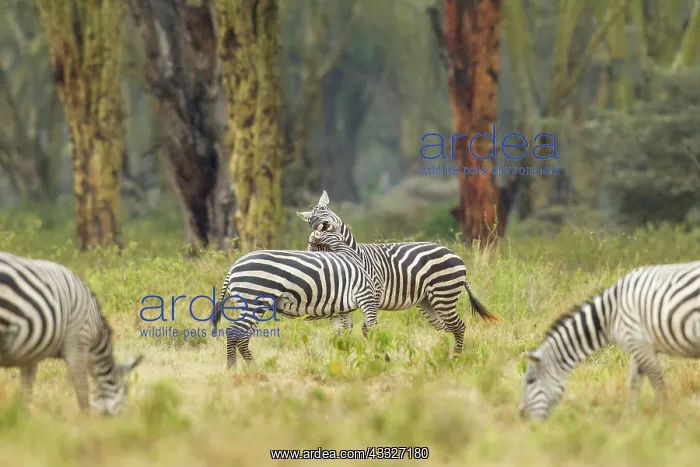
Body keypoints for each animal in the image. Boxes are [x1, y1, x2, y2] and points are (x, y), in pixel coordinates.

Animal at [0, 252, 144, 415]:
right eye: (126, 391)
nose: (122, 418)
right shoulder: (79, 342)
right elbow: (82, 389)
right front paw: (84, 418)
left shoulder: (31, 350)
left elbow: (26, 389)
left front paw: (22, 416)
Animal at [210, 227, 387, 368]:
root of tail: (232, 268)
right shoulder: (366, 297)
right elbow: (374, 331)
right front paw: (381, 359)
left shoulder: (341, 310)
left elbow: (343, 338)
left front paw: (343, 362)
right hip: (253, 301)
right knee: (234, 332)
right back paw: (233, 368)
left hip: (250, 306)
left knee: (242, 337)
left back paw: (253, 368)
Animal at [296, 191, 499, 357]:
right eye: (310, 220)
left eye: (324, 211)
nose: (317, 225)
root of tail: (455, 255)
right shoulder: (343, 304)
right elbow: (344, 332)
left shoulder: (373, 296)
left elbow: (367, 330)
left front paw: (374, 356)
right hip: (428, 302)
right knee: (447, 328)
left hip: (444, 295)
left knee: (458, 326)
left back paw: (456, 358)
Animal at [520, 261, 700, 421]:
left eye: (530, 381)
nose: (523, 417)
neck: (609, 316)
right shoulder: (637, 345)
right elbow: (633, 383)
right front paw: (631, 418)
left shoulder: (639, 342)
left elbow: (657, 382)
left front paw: (663, 413)